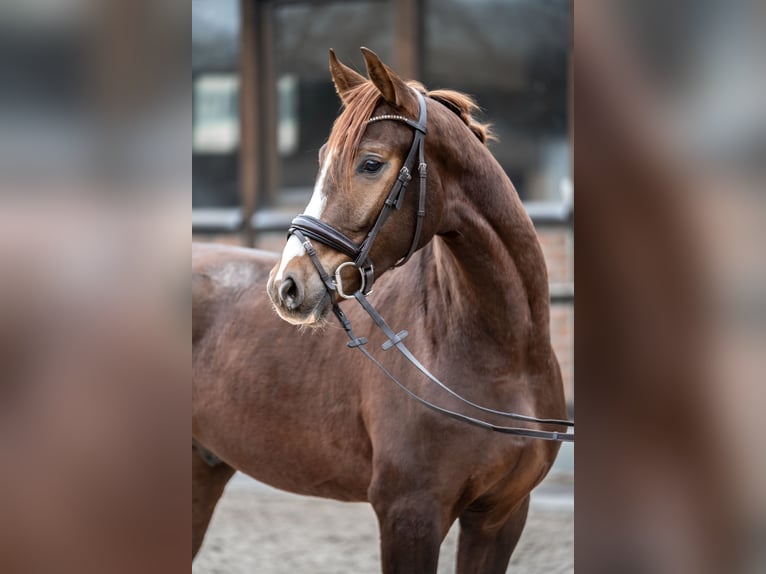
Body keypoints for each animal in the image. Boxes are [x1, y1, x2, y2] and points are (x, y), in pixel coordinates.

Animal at [194, 47, 568, 572]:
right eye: (322, 159)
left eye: (371, 164)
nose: (286, 285)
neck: (505, 362)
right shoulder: (410, 515)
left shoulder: (501, 517)